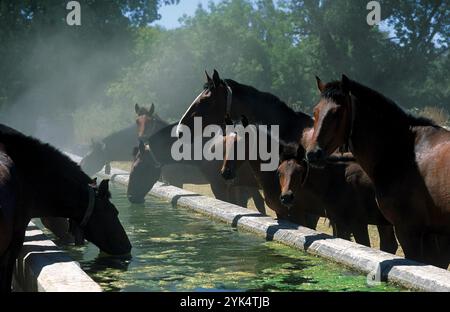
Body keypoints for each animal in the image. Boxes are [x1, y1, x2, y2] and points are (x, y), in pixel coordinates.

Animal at [306, 75, 450, 268]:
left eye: (336, 113)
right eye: (315, 112)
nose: (313, 154)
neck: (403, 151)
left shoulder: (409, 231)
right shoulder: (431, 234)